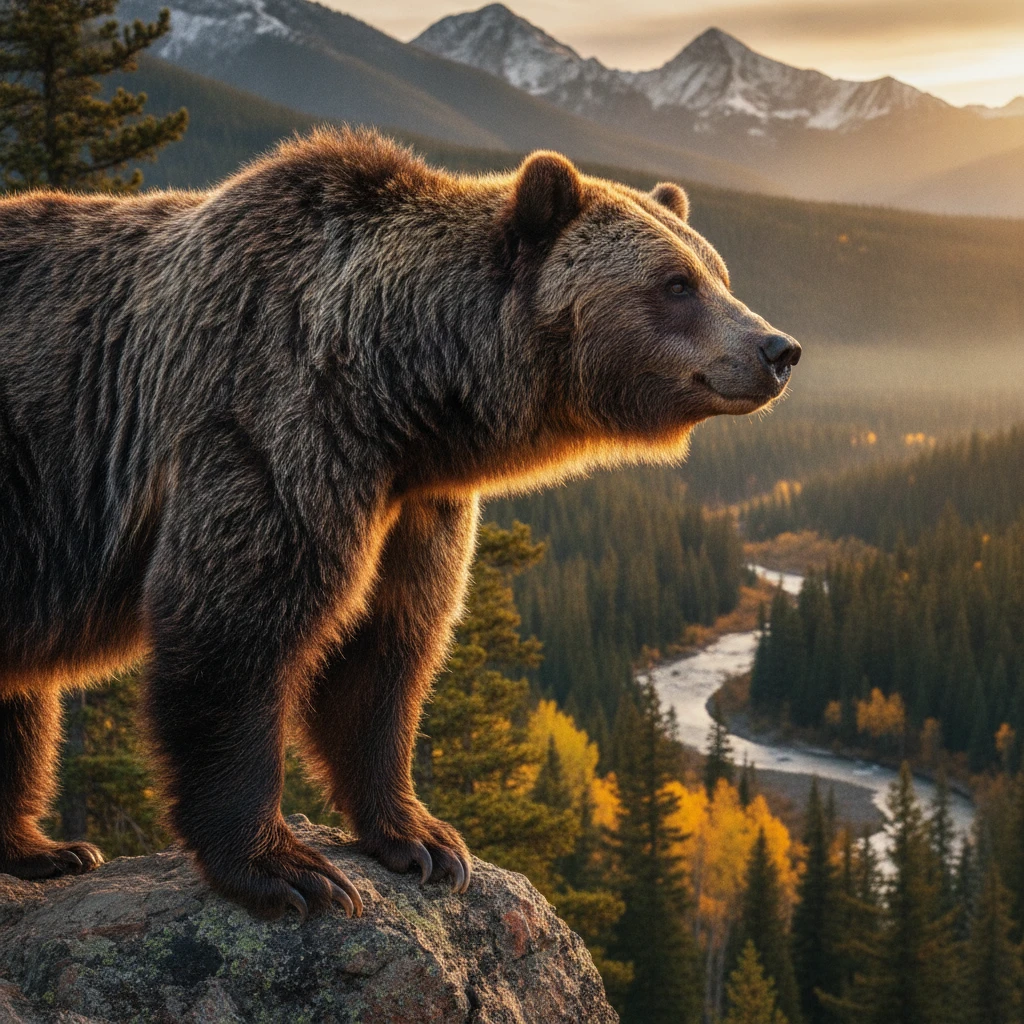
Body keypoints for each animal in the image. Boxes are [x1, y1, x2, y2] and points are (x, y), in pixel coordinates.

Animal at [0, 128, 800, 920]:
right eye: (674, 282)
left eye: (718, 272)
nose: (778, 349)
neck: (400, 397)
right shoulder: (271, 433)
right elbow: (238, 629)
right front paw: (288, 869)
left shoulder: (412, 506)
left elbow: (386, 652)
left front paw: (423, 840)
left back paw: (42, 849)